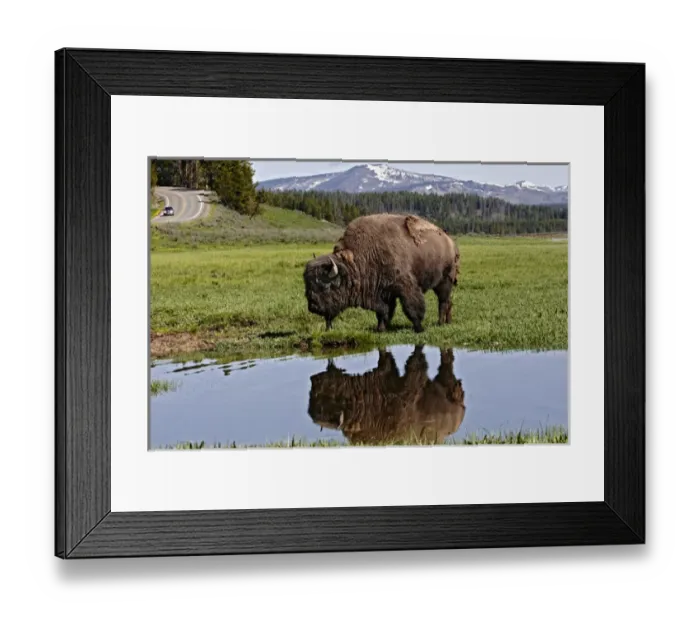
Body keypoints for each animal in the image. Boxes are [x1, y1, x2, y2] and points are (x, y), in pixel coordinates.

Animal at [303, 213, 460, 333]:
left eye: (325, 287)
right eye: (307, 287)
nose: (313, 307)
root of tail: (450, 242)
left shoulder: (406, 288)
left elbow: (412, 308)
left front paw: (419, 328)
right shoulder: (382, 292)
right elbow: (383, 312)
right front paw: (381, 329)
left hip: (445, 281)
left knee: (443, 302)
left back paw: (440, 323)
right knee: (449, 302)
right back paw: (448, 321)